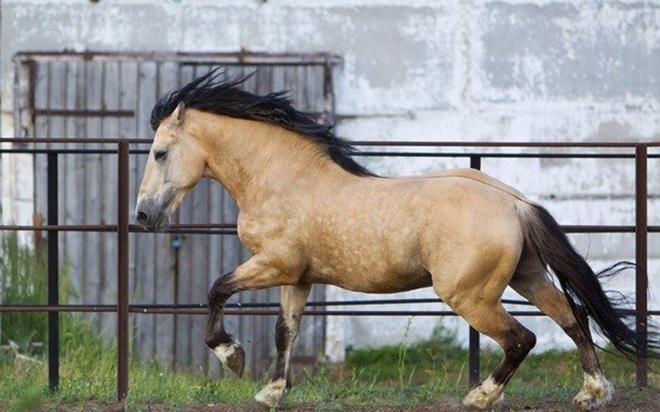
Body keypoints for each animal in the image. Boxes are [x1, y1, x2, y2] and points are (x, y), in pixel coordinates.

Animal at [135, 69, 657, 410]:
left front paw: (233, 357)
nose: (143, 216)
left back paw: (480, 396)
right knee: (573, 318)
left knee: (521, 338)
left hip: (469, 295)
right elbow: (286, 331)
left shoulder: (273, 264)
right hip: (525, 276)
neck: (282, 177)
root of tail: (513, 202)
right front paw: (271, 391)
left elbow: (217, 288)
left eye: (159, 153)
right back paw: (593, 393)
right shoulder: (297, 277)